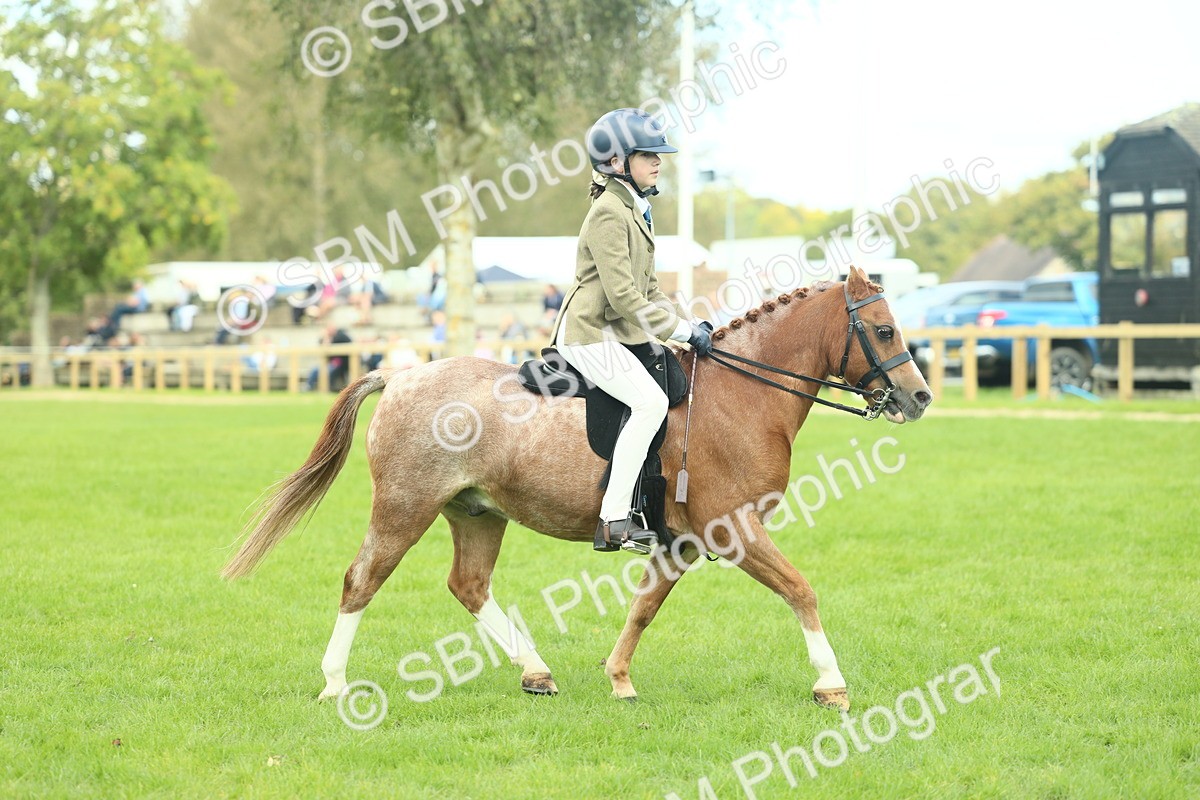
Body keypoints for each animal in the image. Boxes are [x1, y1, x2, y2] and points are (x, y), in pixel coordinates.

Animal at [222, 264, 933, 711]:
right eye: (886, 330)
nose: (921, 397)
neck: (740, 395)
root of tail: (399, 376)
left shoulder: (679, 543)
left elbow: (644, 607)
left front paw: (618, 679)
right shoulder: (734, 529)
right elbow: (800, 590)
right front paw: (831, 684)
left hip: (477, 514)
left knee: (468, 585)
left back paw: (535, 672)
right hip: (404, 508)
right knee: (361, 581)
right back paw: (335, 684)